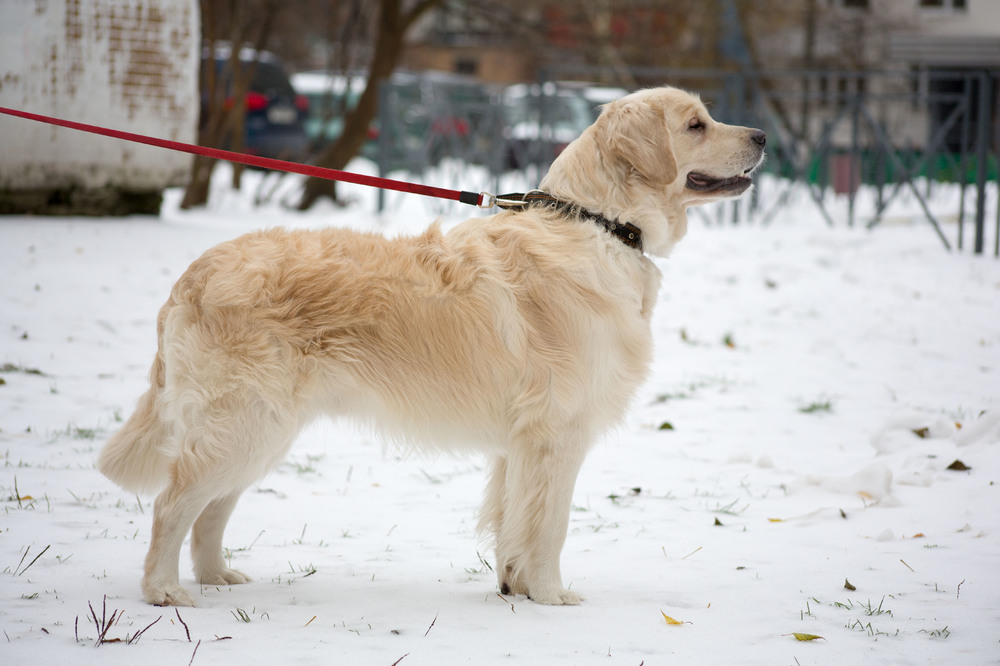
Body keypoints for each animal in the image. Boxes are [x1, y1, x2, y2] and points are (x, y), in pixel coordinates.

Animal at [99, 87, 764, 608]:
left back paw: (217, 577)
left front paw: (518, 589)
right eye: (696, 124)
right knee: (172, 504)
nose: (760, 135)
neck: (596, 224)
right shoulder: (557, 432)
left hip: (262, 431)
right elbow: (550, 524)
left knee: (209, 511)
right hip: (244, 424)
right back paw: (164, 591)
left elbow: (513, 522)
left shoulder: (520, 444)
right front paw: (553, 597)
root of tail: (194, 274)